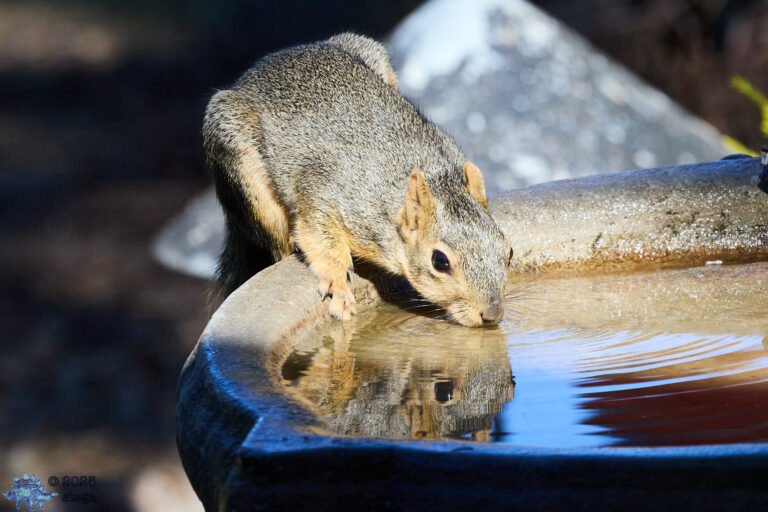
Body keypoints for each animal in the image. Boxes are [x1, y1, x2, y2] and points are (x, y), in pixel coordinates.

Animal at [203, 33, 512, 327]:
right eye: (440, 261)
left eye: (508, 250)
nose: (492, 313)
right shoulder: (323, 196)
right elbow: (320, 240)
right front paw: (339, 288)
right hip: (240, 159)